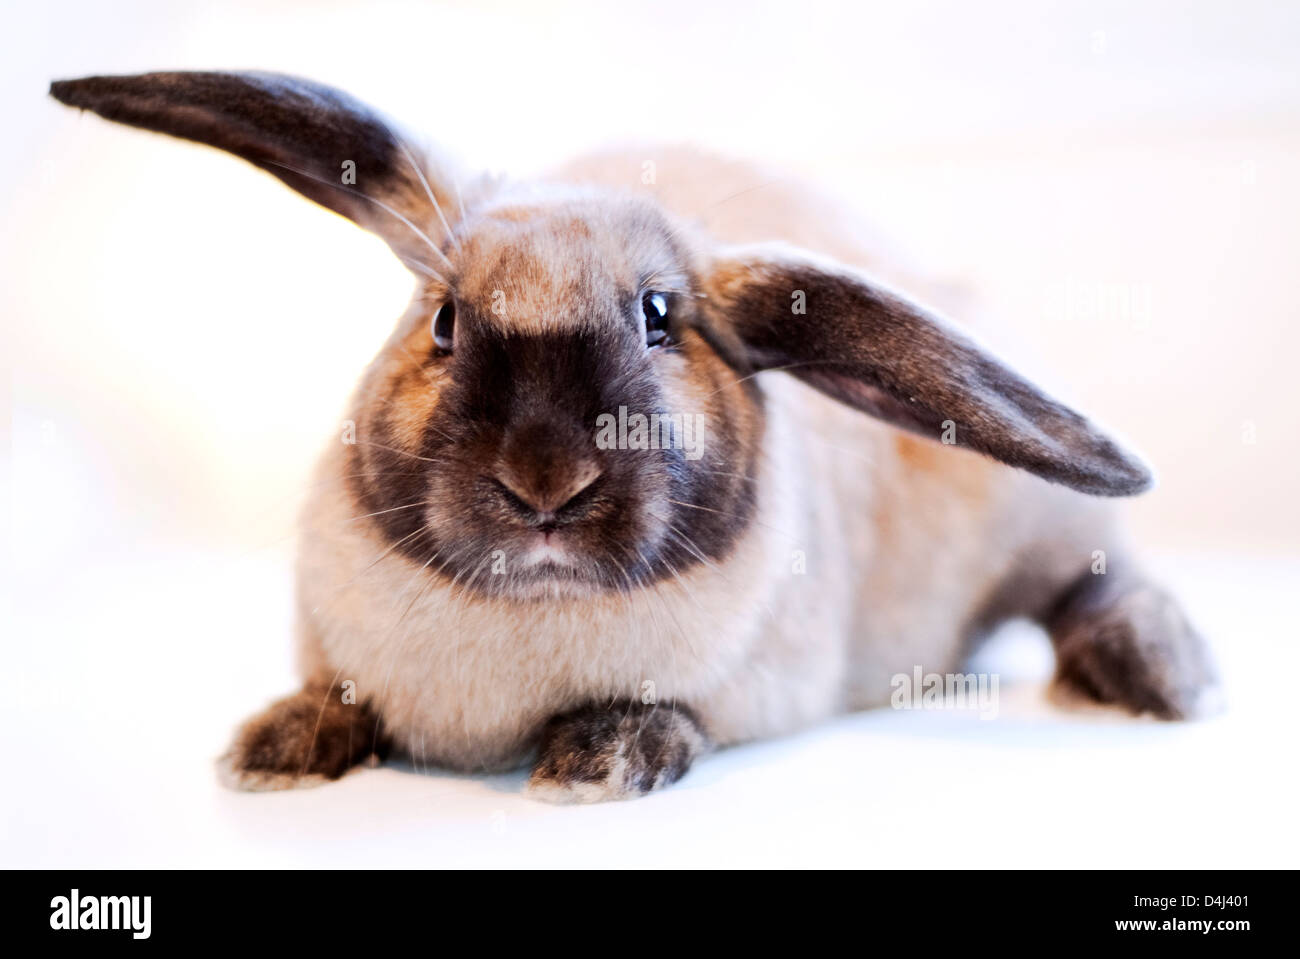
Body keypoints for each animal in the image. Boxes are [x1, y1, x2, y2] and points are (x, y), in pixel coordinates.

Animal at [51, 71, 1218, 803]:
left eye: (662, 319)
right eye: (443, 321)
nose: (544, 483)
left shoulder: (757, 689)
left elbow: (680, 715)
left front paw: (598, 761)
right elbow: (333, 695)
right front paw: (273, 747)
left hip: (1036, 527)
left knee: (1092, 580)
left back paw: (1167, 678)